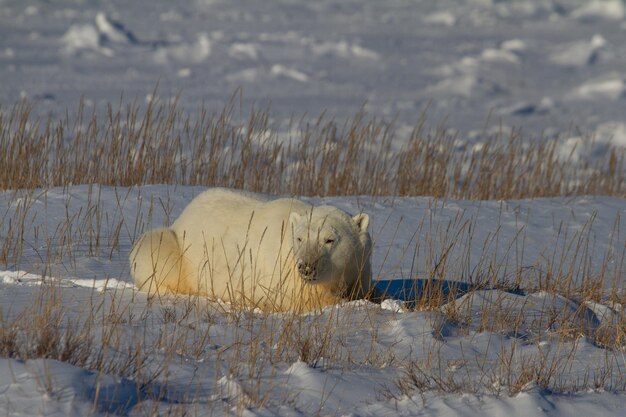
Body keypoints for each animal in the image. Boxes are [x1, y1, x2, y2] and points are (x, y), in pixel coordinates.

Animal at [127, 187, 370, 310]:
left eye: (329, 239)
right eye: (300, 238)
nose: (306, 266)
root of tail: (183, 216)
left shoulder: (359, 266)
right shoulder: (281, 277)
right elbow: (306, 300)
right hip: (180, 249)